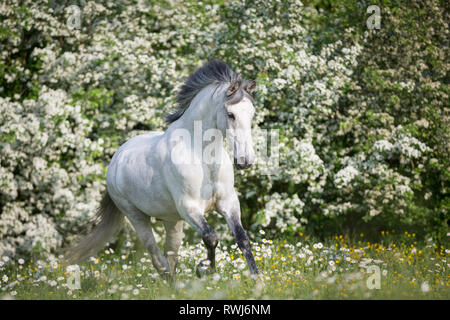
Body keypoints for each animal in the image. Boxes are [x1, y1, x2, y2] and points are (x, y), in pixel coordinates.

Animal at [64, 59, 258, 280]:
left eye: (252, 114)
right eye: (230, 114)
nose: (245, 161)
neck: (203, 157)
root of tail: (116, 159)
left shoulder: (228, 202)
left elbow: (242, 239)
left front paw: (257, 280)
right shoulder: (189, 207)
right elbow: (211, 237)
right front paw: (204, 269)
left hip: (172, 220)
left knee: (171, 256)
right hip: (135, 215)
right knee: (158, 259)